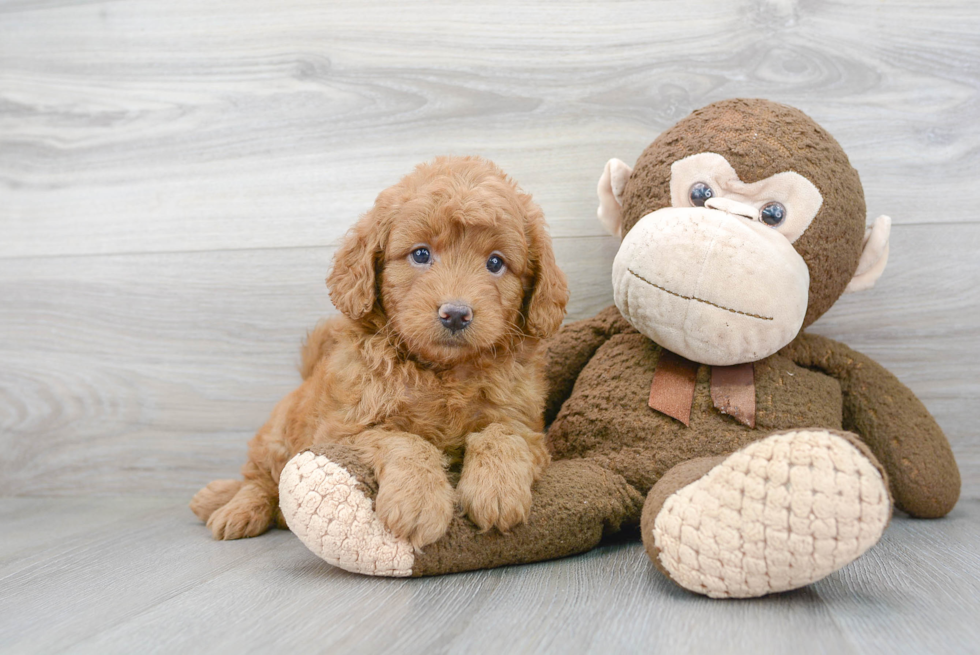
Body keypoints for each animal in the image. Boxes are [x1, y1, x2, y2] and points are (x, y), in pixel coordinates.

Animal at [190, 158, 568, 548]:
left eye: (495, 263)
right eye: (420, 254)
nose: (456, 314)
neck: (441, 373)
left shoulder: (525, 425)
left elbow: (502, 434)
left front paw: (497, 490)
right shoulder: (345, 432)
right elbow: (405, 440)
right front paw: (419, 502)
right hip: (277, 437)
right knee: (261, 479)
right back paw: (234, 508)